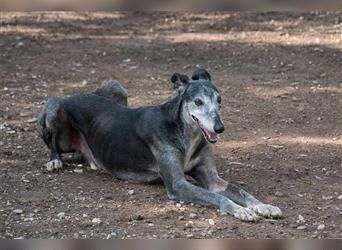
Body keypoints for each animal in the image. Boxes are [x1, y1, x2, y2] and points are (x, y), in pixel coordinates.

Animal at [37, 68, 284, 221]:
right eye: (198, 101)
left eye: (219, 100)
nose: (219, 128)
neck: (185, 132)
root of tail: (75, 94)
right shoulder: (178, 185)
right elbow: (219, 197)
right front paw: (241, 211)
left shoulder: (211, 179)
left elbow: (241, 191)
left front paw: (264, 206)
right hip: (55, 107)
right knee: (52, 143)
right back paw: (54, 161)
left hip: (117, 88)